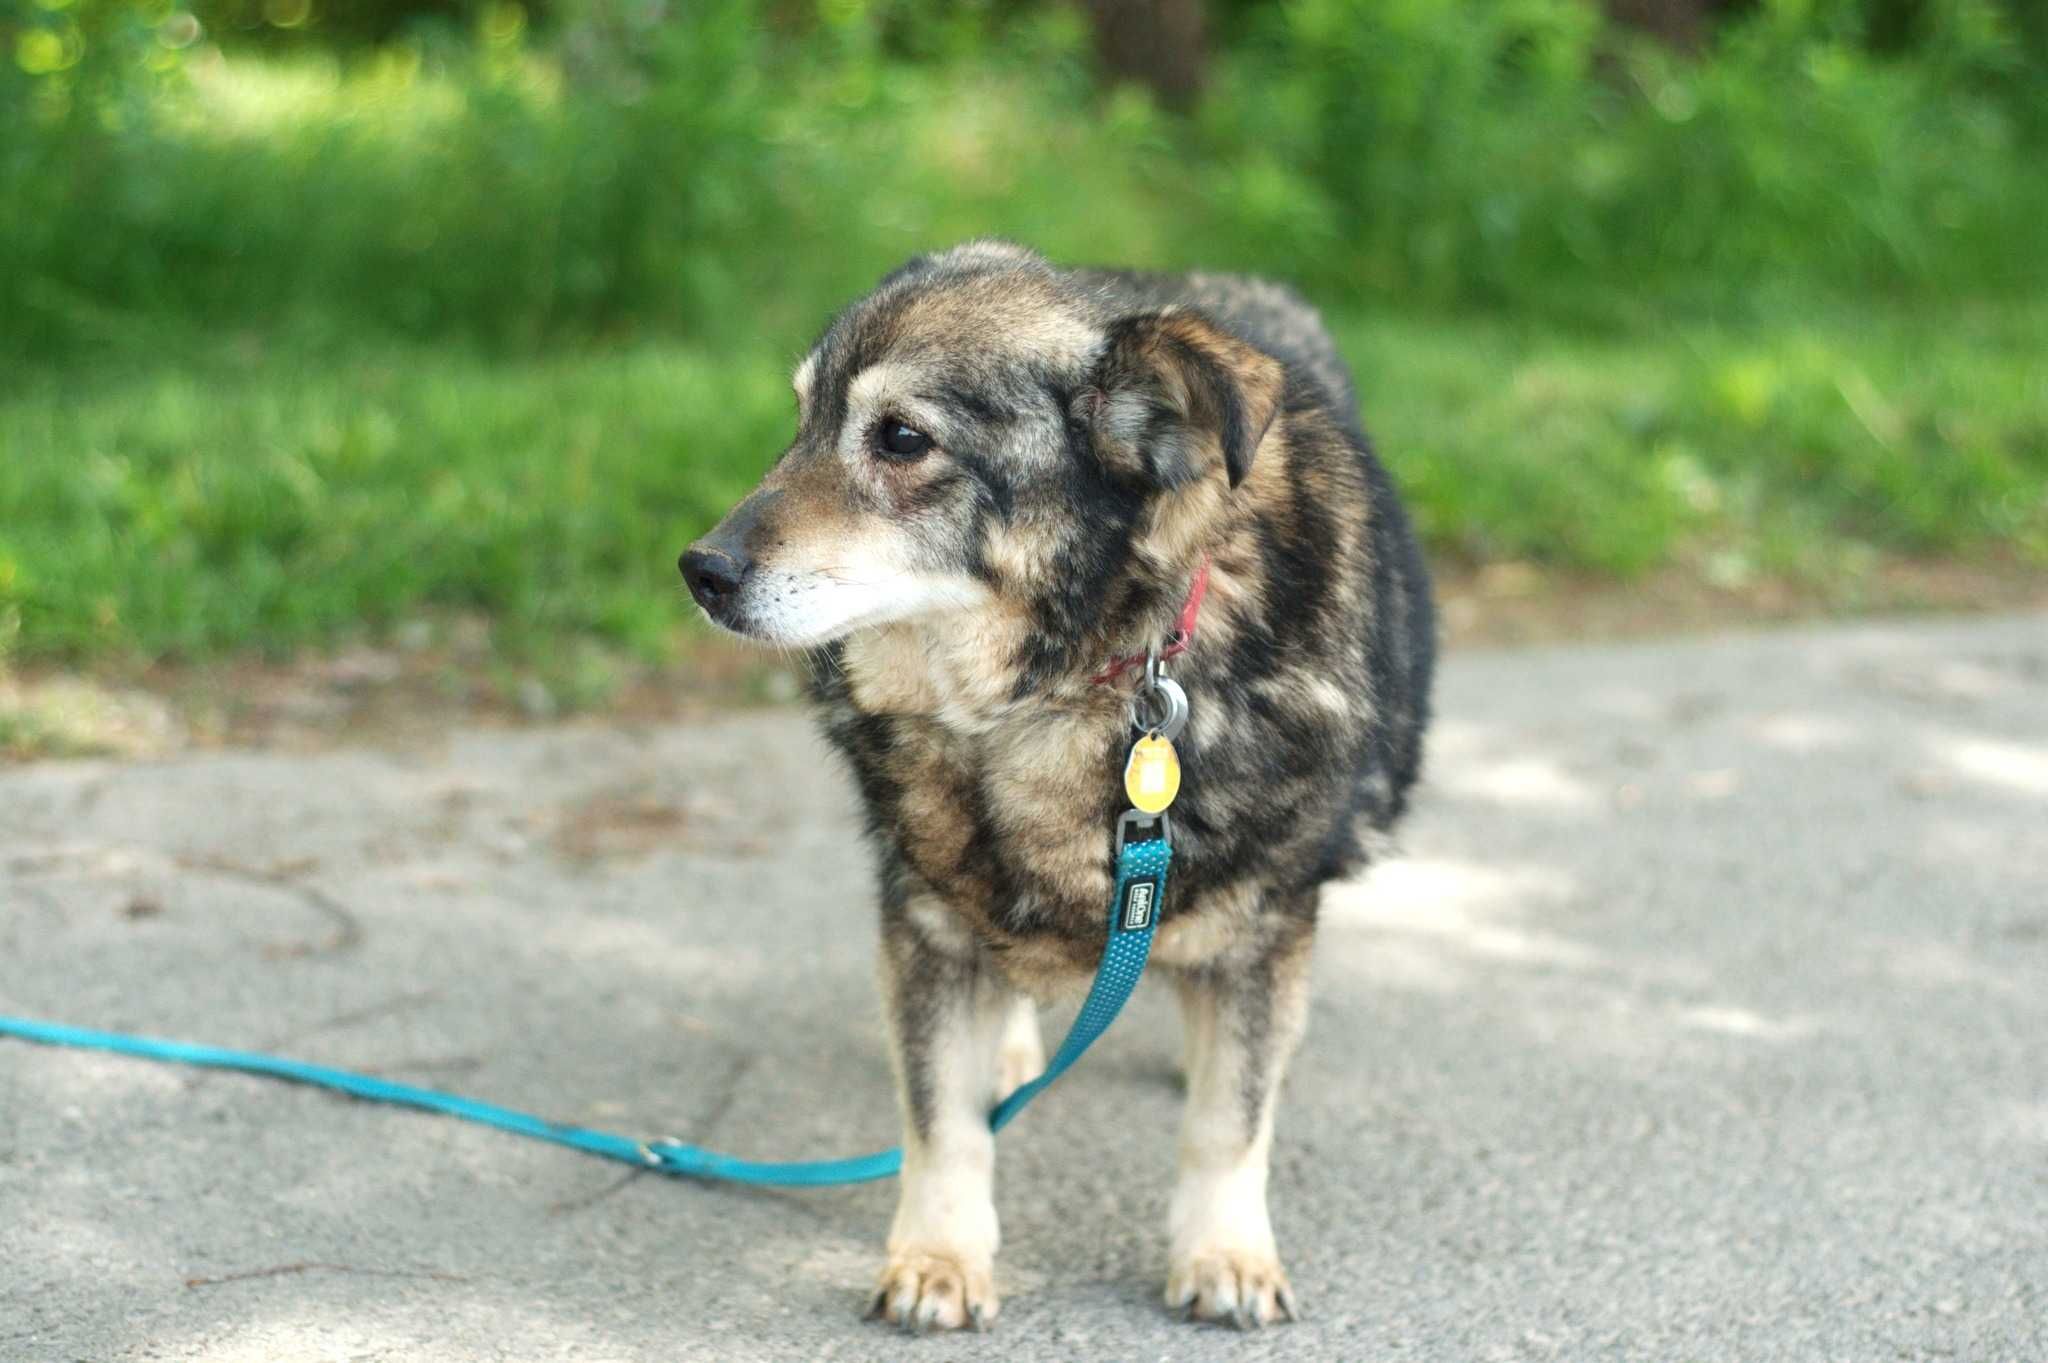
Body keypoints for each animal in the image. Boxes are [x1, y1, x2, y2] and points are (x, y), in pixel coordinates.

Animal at [679, 241, 1433, 1326]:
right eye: (800, 420)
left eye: (900, 437)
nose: (699, 570)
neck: (1063, 686)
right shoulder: (926, 922)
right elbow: (941, 1118)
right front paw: (939, 1257)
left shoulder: (1265, 926)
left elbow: (1230, 1117)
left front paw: (1225, 1252)